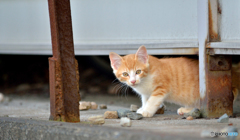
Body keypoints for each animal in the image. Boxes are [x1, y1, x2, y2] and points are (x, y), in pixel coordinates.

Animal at [109, 45, 237, 117]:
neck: (145, 79)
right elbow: (145, 99)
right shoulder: (145, 92)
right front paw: (143, 107)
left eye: (138, 71)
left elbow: (152, 100)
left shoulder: (162, 87)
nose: (133, 81)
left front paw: (147, 111)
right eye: (125, 74)